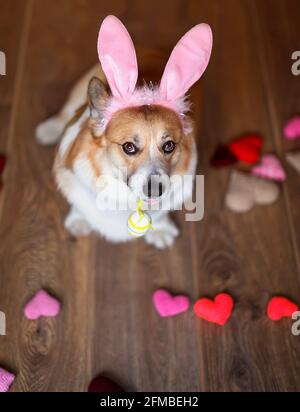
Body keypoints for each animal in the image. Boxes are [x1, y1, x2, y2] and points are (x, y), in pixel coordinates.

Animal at [35, 15, 212, 248]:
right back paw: (48, 129)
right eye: (129, 147)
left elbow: (161, 212)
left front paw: (161, 229)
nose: (155, 189)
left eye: (169, 146)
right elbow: (79, 202)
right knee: (66, 111)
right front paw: (79, 220)